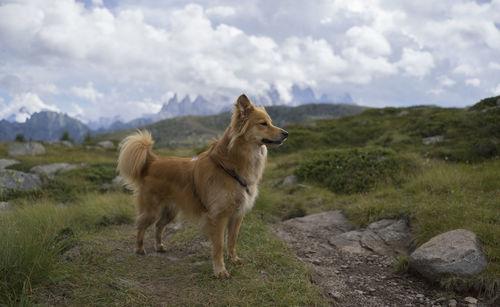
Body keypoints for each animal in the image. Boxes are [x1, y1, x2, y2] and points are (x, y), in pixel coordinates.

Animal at [117, 94, 288, 280]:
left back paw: (159, 246)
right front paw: (220, 270)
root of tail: (152, 161)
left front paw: (234, 259)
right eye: (263, 123)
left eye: (270, 122)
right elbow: (219, 245)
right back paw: (139, 248)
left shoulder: (237, 215)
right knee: (141, 225)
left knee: (158, 226)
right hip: (152, 210)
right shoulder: (218, 216)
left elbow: (232, 240)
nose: (286, 134)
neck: (231, 165)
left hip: (171, 211)